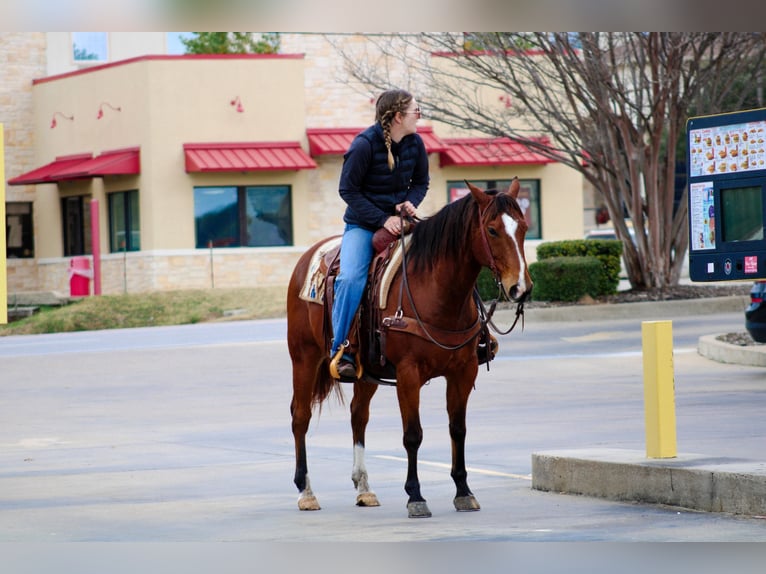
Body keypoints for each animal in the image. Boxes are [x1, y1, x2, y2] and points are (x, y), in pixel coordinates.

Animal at [288, 180, 536, 520]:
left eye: (524, 226)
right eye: (492, 229)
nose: (520, 288)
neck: (437, 292)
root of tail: (307, 258)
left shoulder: (464, 371)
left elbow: (458, 429)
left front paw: (463, 491)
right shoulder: (408, 374)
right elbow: (413, 434)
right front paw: (415, 496)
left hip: (366, 372)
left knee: (358, 416)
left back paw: (364, 488)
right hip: (304, 357)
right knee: (300, 416)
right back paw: (306, 491)